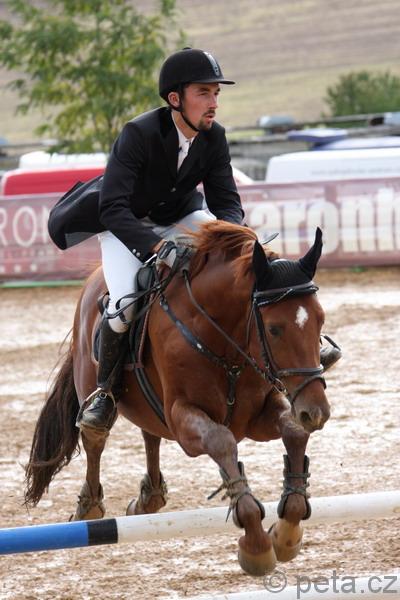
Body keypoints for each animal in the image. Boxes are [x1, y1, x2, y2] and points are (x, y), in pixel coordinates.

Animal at [25, 221, 331, 577]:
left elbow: (293, 432)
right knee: (95, 437)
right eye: (274, 329)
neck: (226, 341)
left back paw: (149, 498)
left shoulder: (256, 418)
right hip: (94, 379)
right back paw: (89, 505)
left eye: (320, 319)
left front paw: (286, 534)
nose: (316, 412)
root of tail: (92, 282)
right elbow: (221, 442)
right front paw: (256, 545)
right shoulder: (184, 418)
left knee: (150, 434)